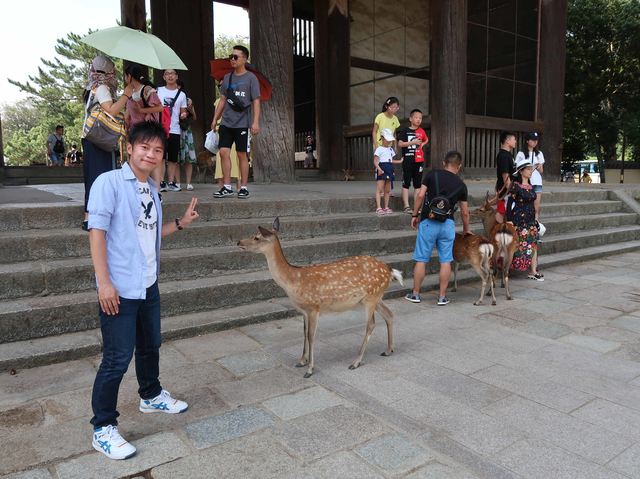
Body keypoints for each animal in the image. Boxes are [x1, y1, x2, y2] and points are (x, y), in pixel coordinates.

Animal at [238, 218, 402, 378]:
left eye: (256, 237)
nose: (239, 242)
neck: (292, 279)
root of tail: (389, 270)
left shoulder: (313, 307)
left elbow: (311, 336)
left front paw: (309, 369)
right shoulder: (304, 311)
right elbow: (304, 333)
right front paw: (301, 361)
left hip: (371, 297)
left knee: (371, 324)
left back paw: (355, 362)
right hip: (377, 296)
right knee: (389, 314)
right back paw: (388, 350)